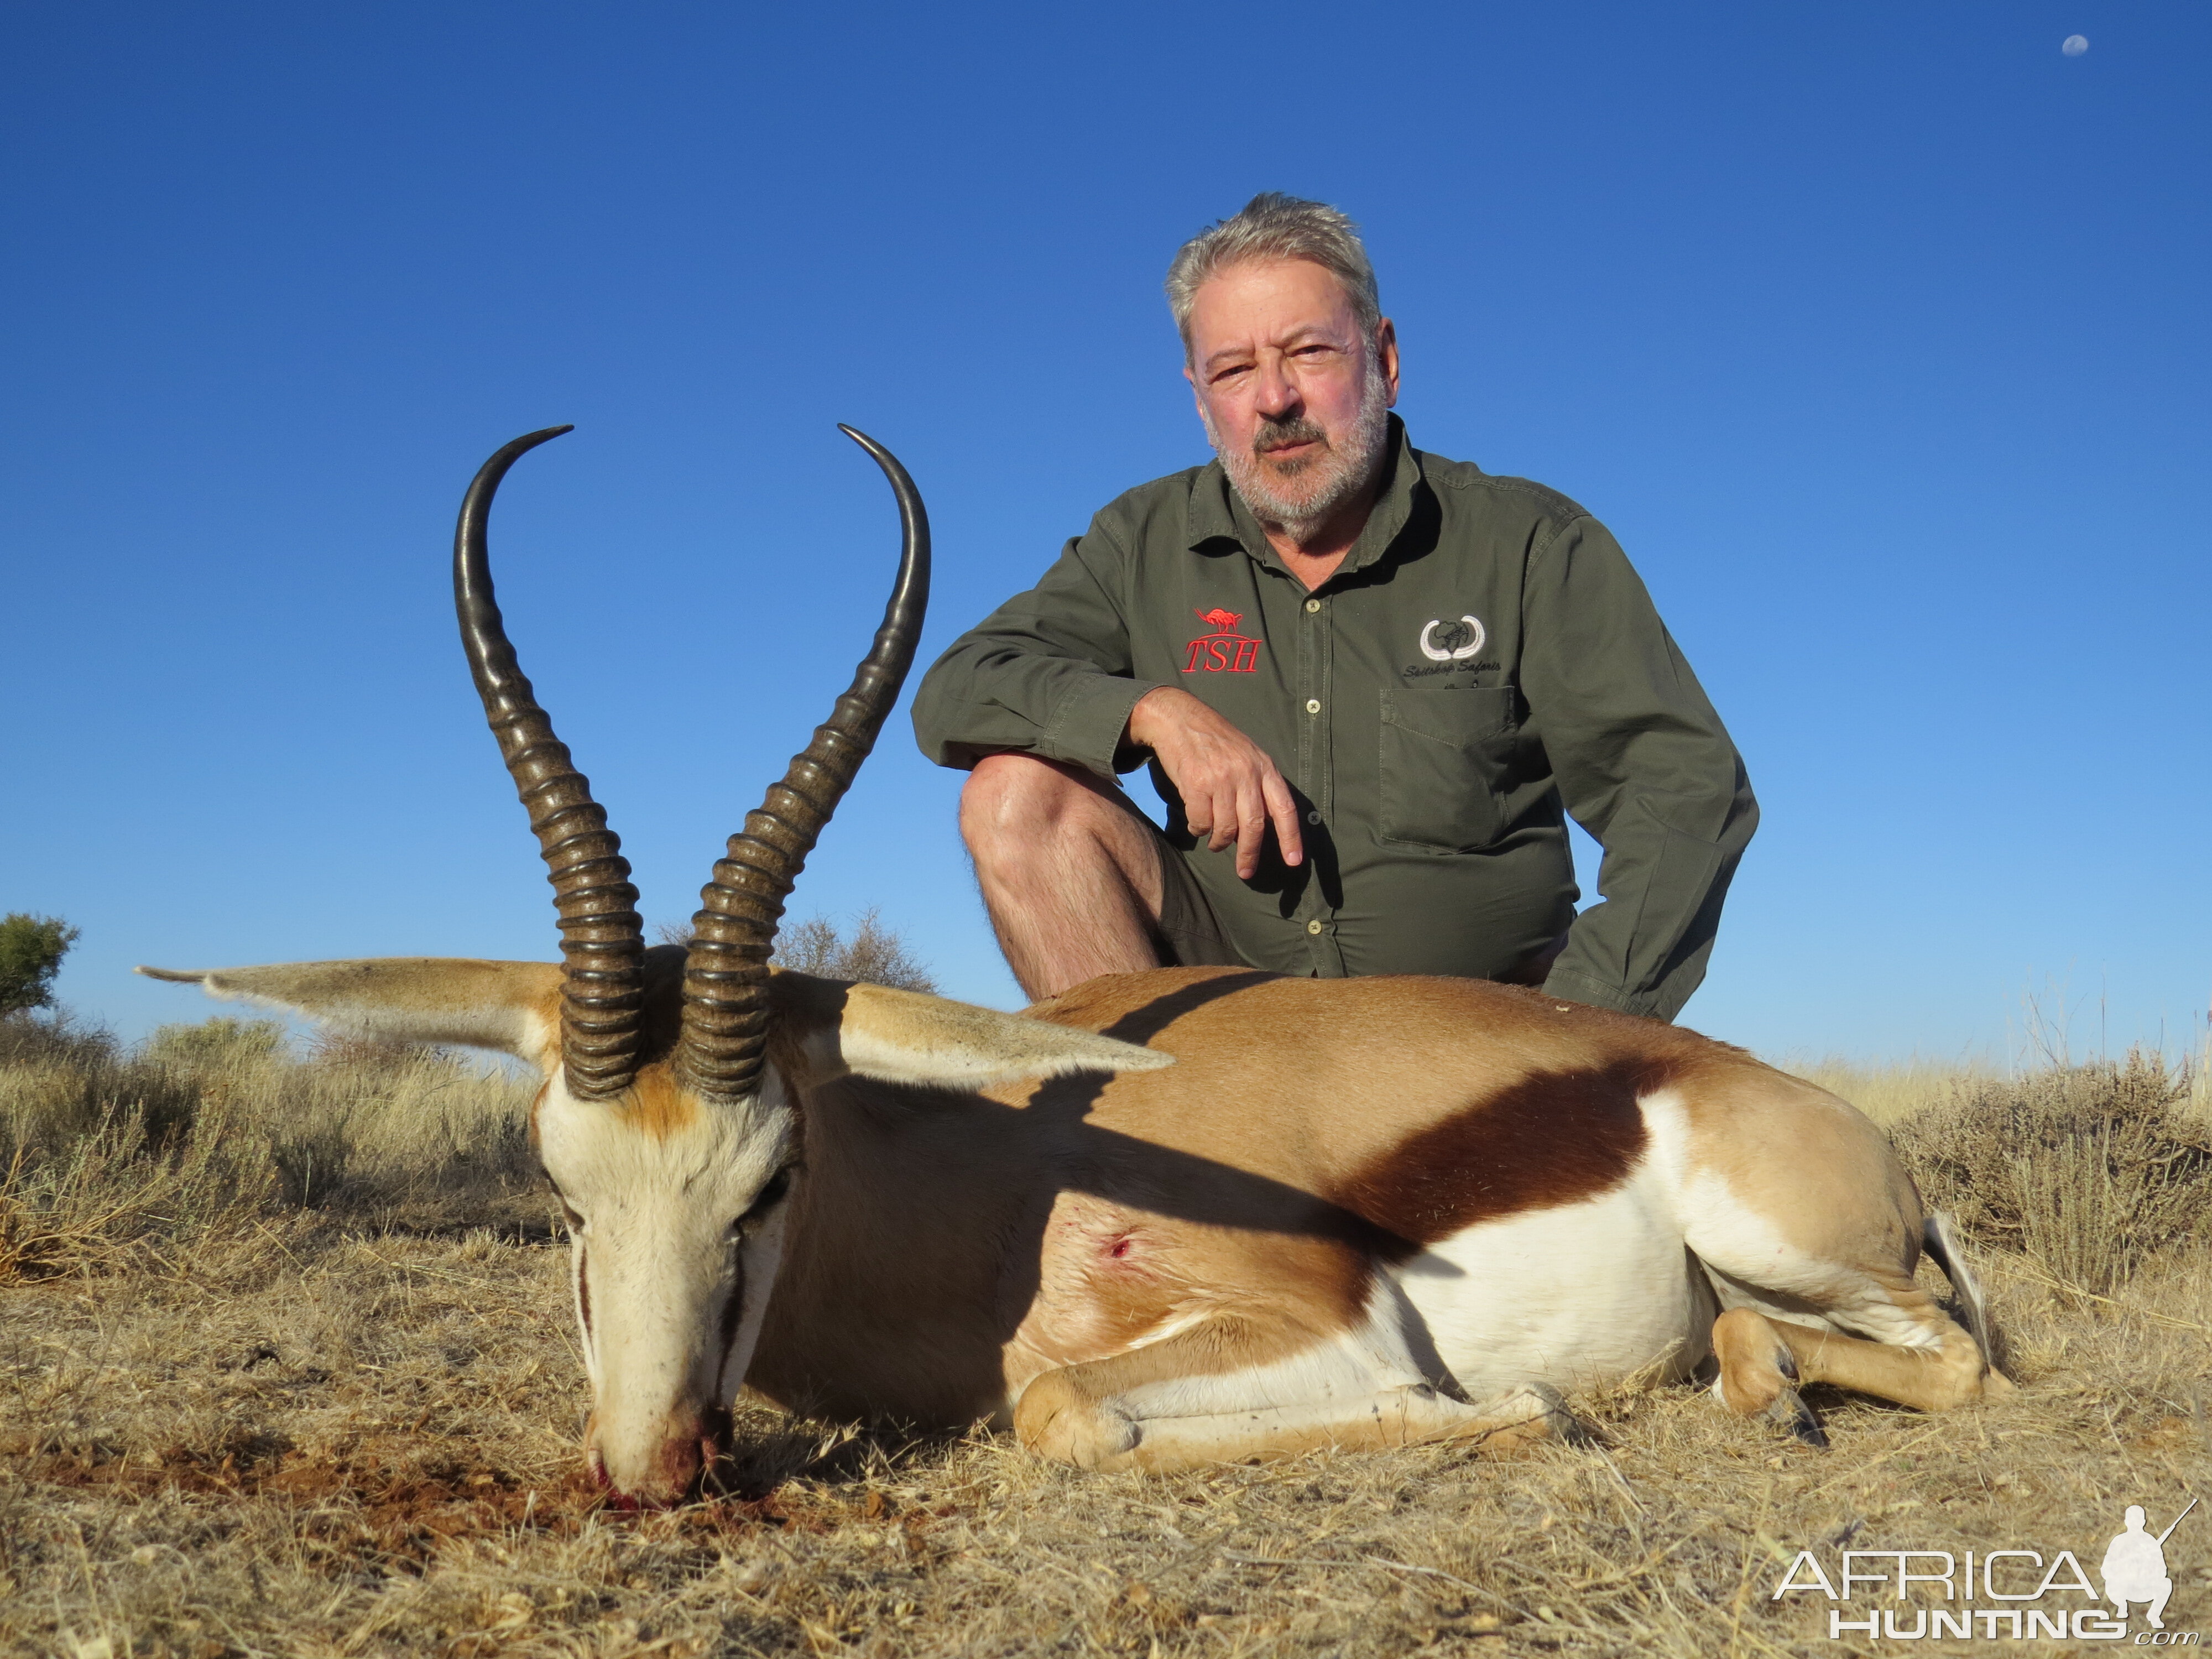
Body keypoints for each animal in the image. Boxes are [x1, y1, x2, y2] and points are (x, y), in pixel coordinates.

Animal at [143, 425, 2008, 1504]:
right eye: (557, 1188)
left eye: (770, 1180)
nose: (650, 1469)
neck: (998, 1186)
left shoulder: (1325, 1320)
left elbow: (1056, 1412)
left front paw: (1518, 1417)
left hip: (1784, 1240)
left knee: (1964, 1363)